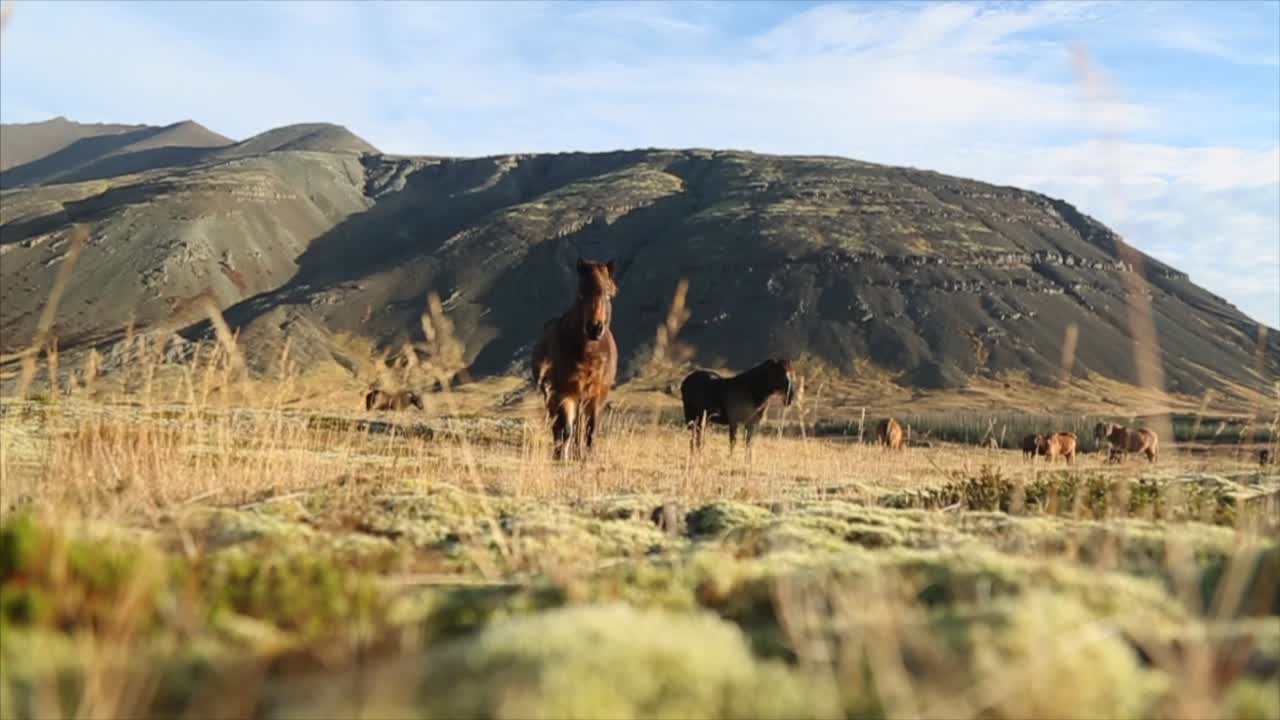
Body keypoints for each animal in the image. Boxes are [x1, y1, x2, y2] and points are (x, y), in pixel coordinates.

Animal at [530, 258, 619, 461]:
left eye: (608, 295)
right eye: (580, 295)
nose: (594, 328)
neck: (589, 356)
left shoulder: (597, 396)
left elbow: (591, 430)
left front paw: (588, 457)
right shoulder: (565, 393)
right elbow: (566, 429)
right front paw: (564, 456)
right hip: (553, 395)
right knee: (559, 426)